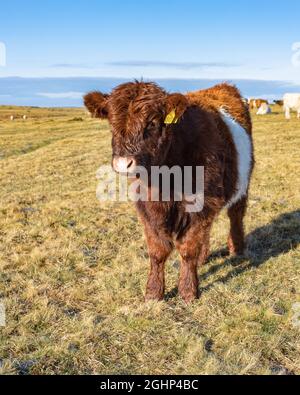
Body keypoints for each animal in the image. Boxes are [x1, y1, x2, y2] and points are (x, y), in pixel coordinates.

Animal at [84, 83, 253, 304]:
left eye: (152, 123)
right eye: (111, 122)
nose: (123, 163)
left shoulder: (203, 202)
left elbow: (188, 248)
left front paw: (188, 291)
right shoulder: (147, 207)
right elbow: (158, 251)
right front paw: (153, 292)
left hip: (243, 183)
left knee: (236, 215)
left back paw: (236, 249)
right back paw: (203, 258)